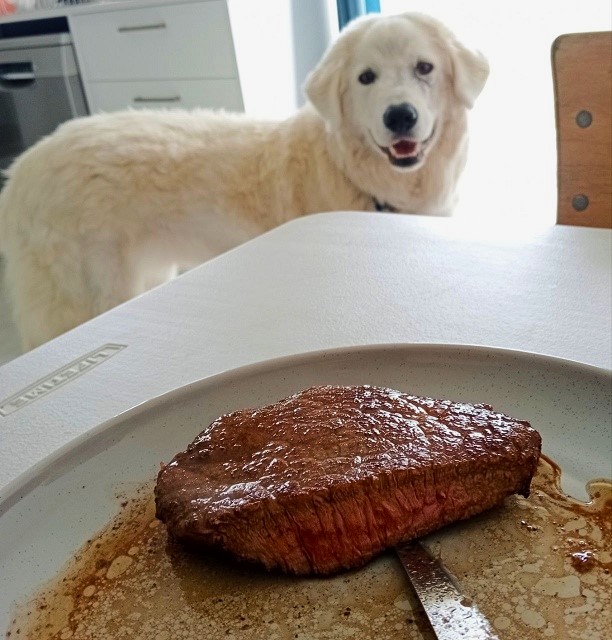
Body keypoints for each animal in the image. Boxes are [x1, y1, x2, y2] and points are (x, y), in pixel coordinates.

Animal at [0, 11, 488, 350]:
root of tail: (21, 168)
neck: (353, 171)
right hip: (84, 295)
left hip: (148, 273)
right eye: (366, 77)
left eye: (424, 68)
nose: (399, 116)